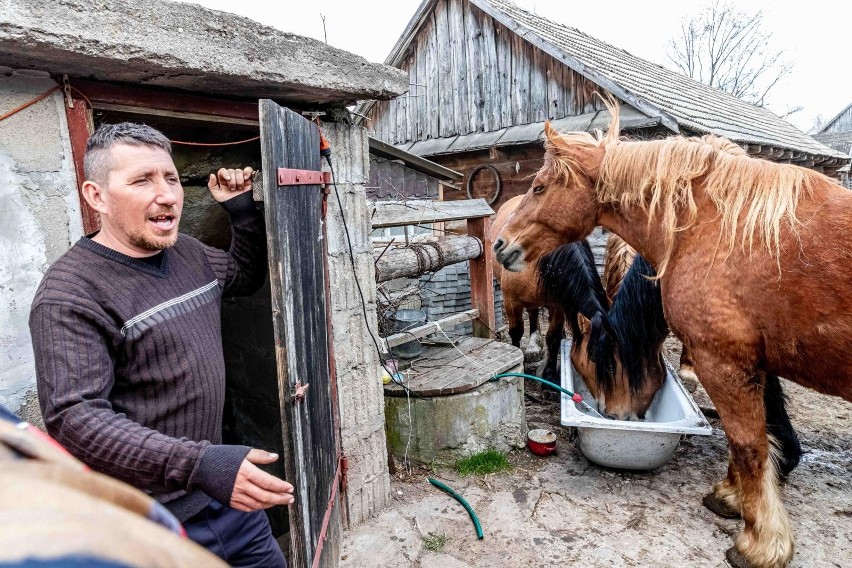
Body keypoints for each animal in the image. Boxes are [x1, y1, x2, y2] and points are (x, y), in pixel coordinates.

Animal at [492, 101, 852, 568]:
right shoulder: (746, 359)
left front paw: (760, 542)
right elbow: (756, 427)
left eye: (538, 187)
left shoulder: (724, 360)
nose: (500, 244)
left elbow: (748, 442)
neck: (704, 228)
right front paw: (741, 493)